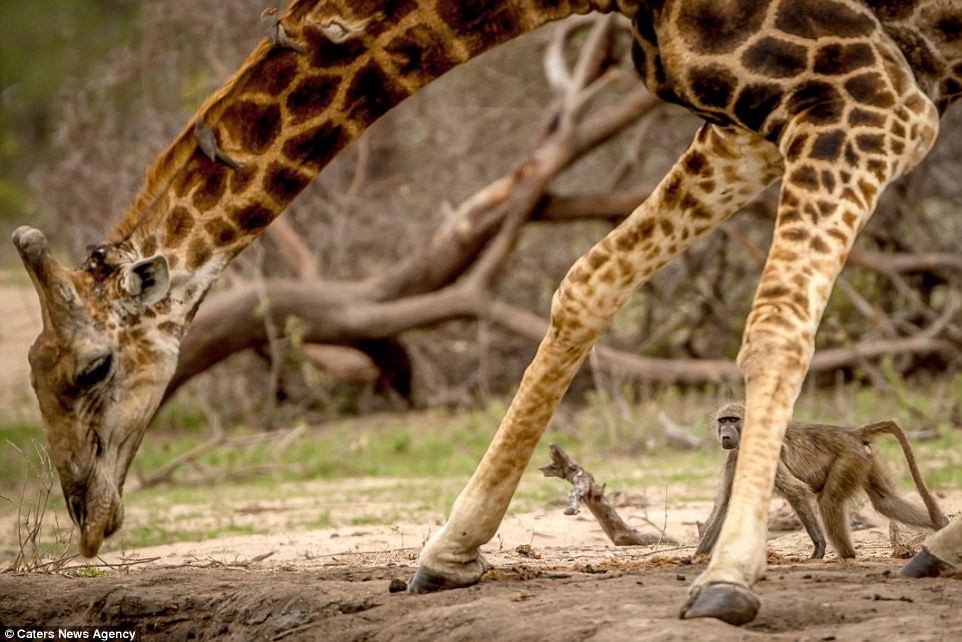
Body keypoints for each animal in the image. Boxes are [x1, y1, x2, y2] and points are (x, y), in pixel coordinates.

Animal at [11, 0, 960, 624]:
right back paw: (935, 546)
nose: (86, 517)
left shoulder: (867, 98)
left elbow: (773, 324)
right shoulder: (754, 124)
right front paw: (448, 553)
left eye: (93, 366)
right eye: (34, 371)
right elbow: (584, 283)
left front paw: (727, 578)